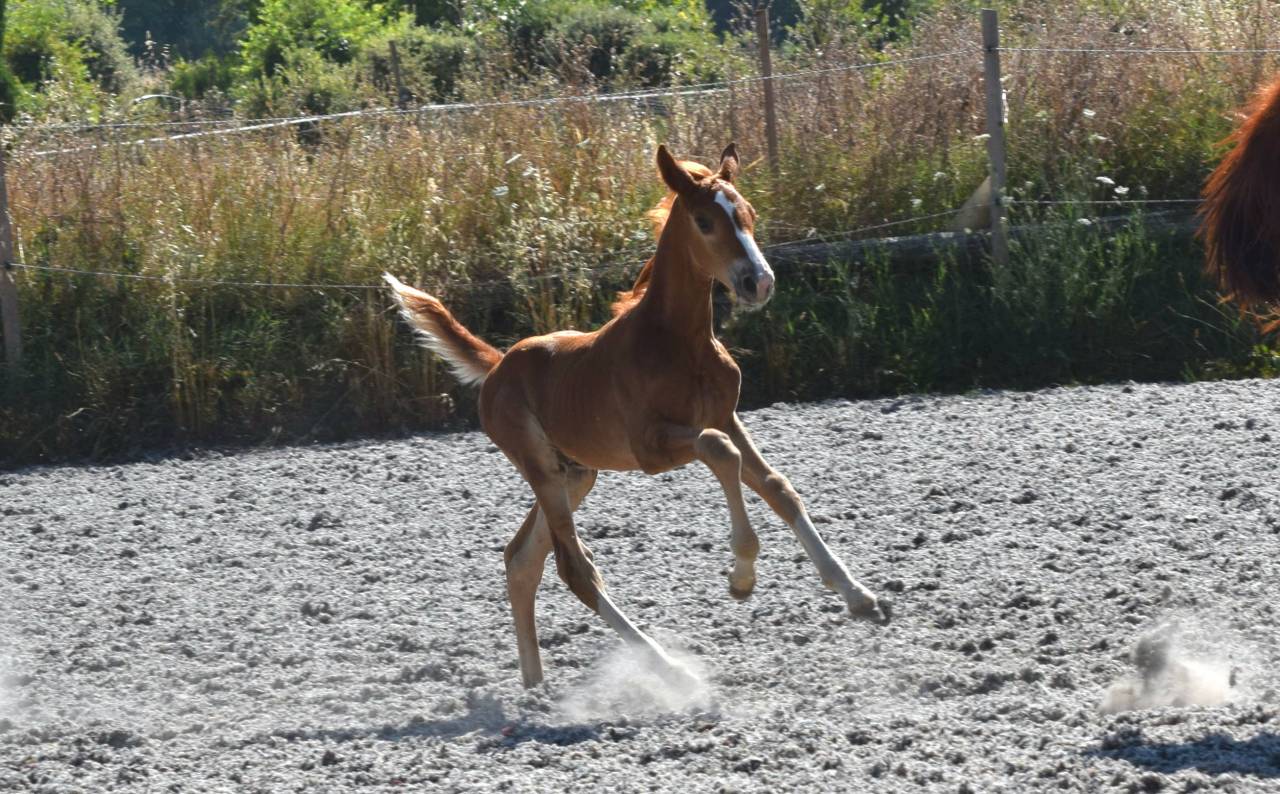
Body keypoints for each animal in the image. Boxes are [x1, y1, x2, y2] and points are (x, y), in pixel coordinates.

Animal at [385, 143, 890, 689]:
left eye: (750, 214)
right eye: (705, 221)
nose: (759, 282)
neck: (678, 344)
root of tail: (499, 366)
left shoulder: (726, 415)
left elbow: (778, 486)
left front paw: (859, 595)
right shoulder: (652, 447)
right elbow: (718, 450)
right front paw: (741, 577)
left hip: (576, 473)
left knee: (521, 559)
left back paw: (535, 685)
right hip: (541, 468)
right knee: (573, 568)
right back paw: (670, 669)